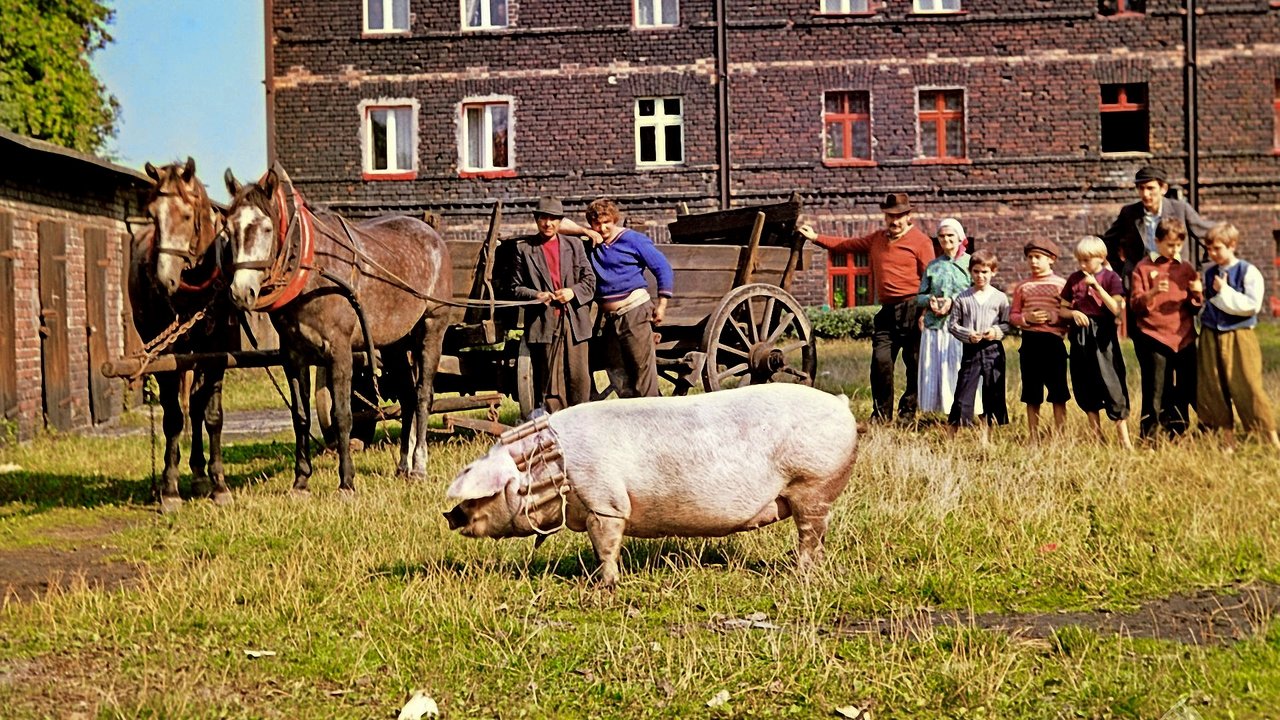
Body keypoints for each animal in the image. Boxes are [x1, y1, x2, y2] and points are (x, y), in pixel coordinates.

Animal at [130, 156, 240, 509]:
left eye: (188, 216)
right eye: (153, 215)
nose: (164, 279)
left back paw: (201, 474)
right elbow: (173, 418)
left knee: (196, 405)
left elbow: (212, 414)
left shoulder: (217, 353)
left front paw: (219, 484)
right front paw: (169, 488)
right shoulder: (167, 356)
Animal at [222, 163, 453, 491]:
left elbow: (342, 414)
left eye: (266, 229)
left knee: (423, 395)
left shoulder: (339, 351)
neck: (312, 269)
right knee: (408, 396)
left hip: (433, 326)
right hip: (394, 342)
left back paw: (419, 466)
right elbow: (301, 417)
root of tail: (432, 234)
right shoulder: (293, 357)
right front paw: (301, 481)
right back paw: (403, 466)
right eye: (229, 230)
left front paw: (346, 482)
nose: (241, 293)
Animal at [448, 384, 860, 586]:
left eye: (486, 492)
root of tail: (841, 403)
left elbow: (606, 543)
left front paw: (605, 584)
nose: (449, 515)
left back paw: (800, 573)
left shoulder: (606, 501)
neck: (552, 465)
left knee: (811, 532)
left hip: (813, 483)